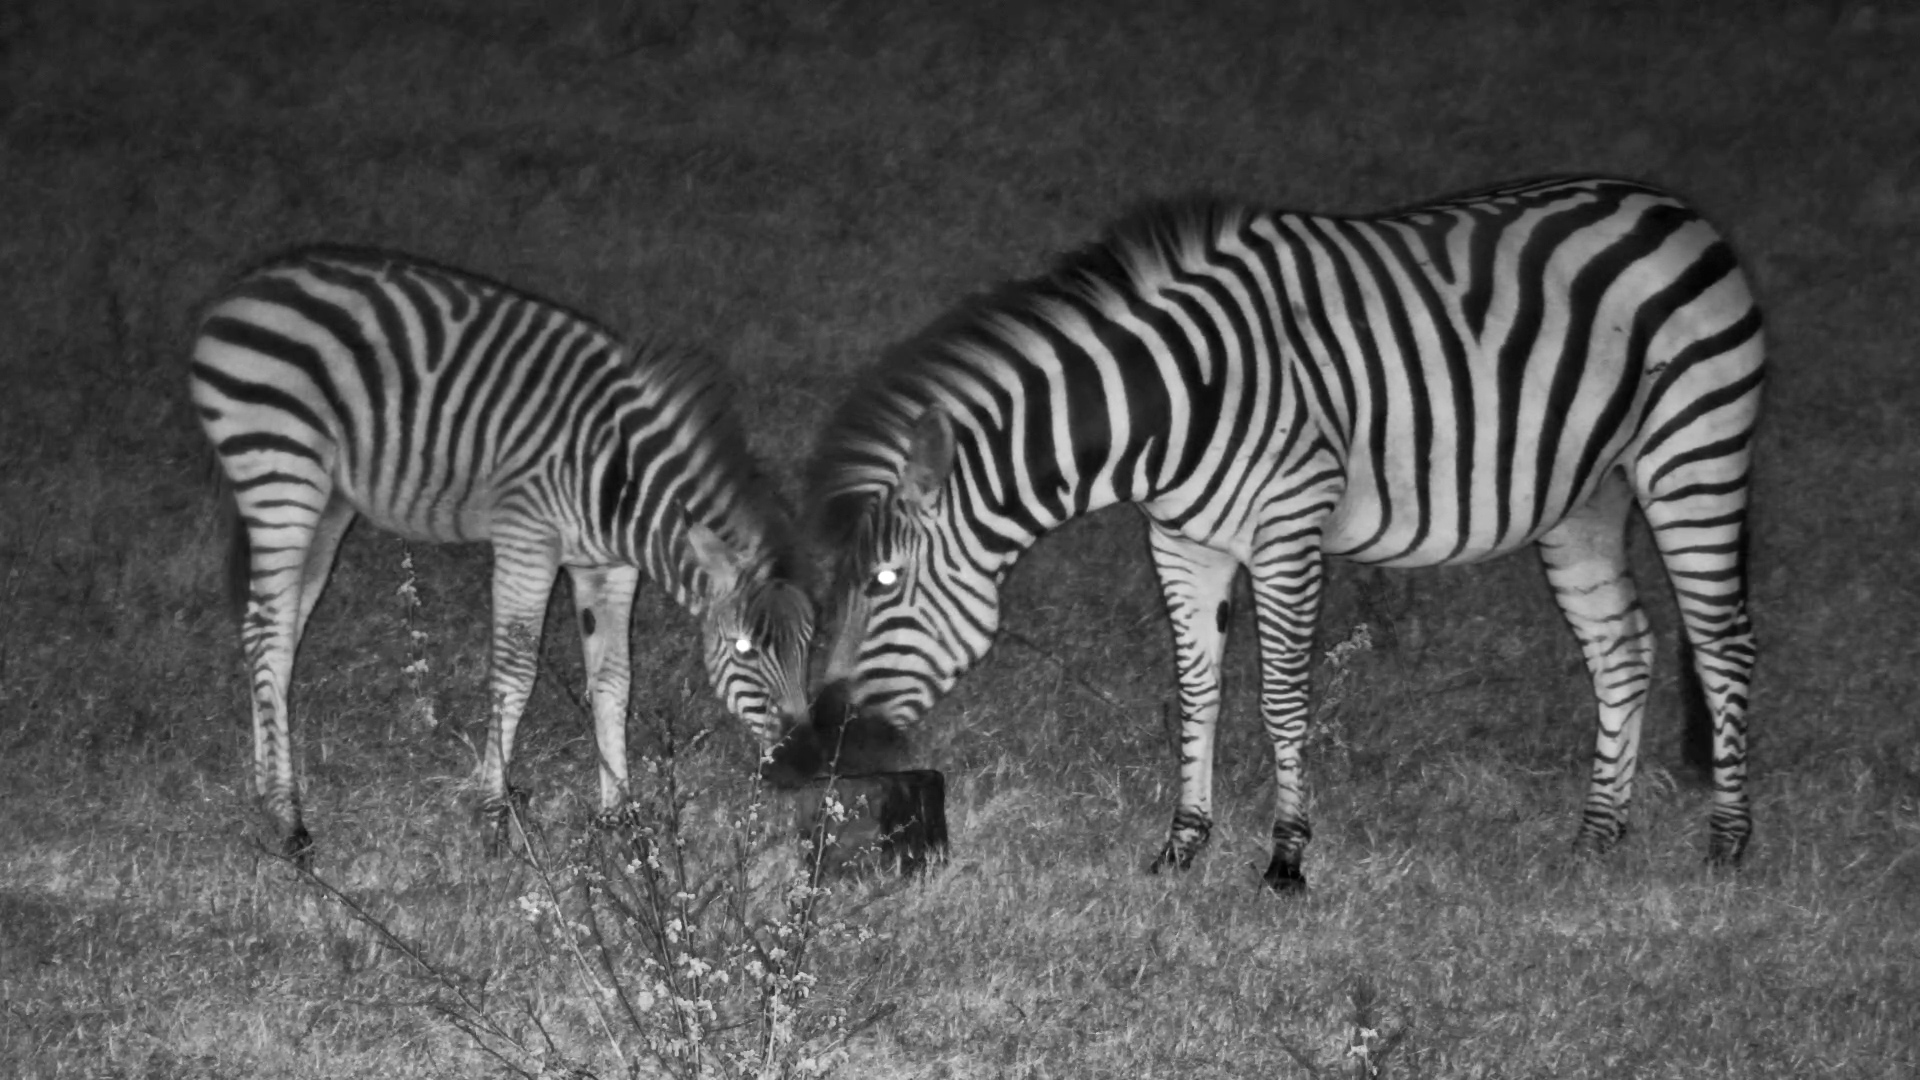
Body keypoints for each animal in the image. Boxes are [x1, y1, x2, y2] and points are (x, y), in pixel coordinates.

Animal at [189, 246, 815, 858]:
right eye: (743, 648)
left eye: (810, 645)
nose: (800, 765)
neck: (622, 483)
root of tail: (242, 287)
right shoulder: (526, 539)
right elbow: (515, 671)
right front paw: (493, 814)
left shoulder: (608, 566)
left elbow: (614, 678)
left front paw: (621, 818)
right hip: (281, 478)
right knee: (267, 631)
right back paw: (287, 819)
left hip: (329, 504)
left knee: (278, 632)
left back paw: (266, 787)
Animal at [807, 176, 1763, 889]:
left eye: (884, 583)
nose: (821, 740)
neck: (1172, 404)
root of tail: (1671, 206)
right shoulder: (1181, 541)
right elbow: (1197, 690)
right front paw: (1182, 844)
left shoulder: (1289, 531)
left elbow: (1282, 697)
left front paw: (1286, 857)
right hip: (1585, 496)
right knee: (1623, 649)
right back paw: (1600, 835)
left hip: (1693, 454)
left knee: (1725, 643)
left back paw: (1726, 845)